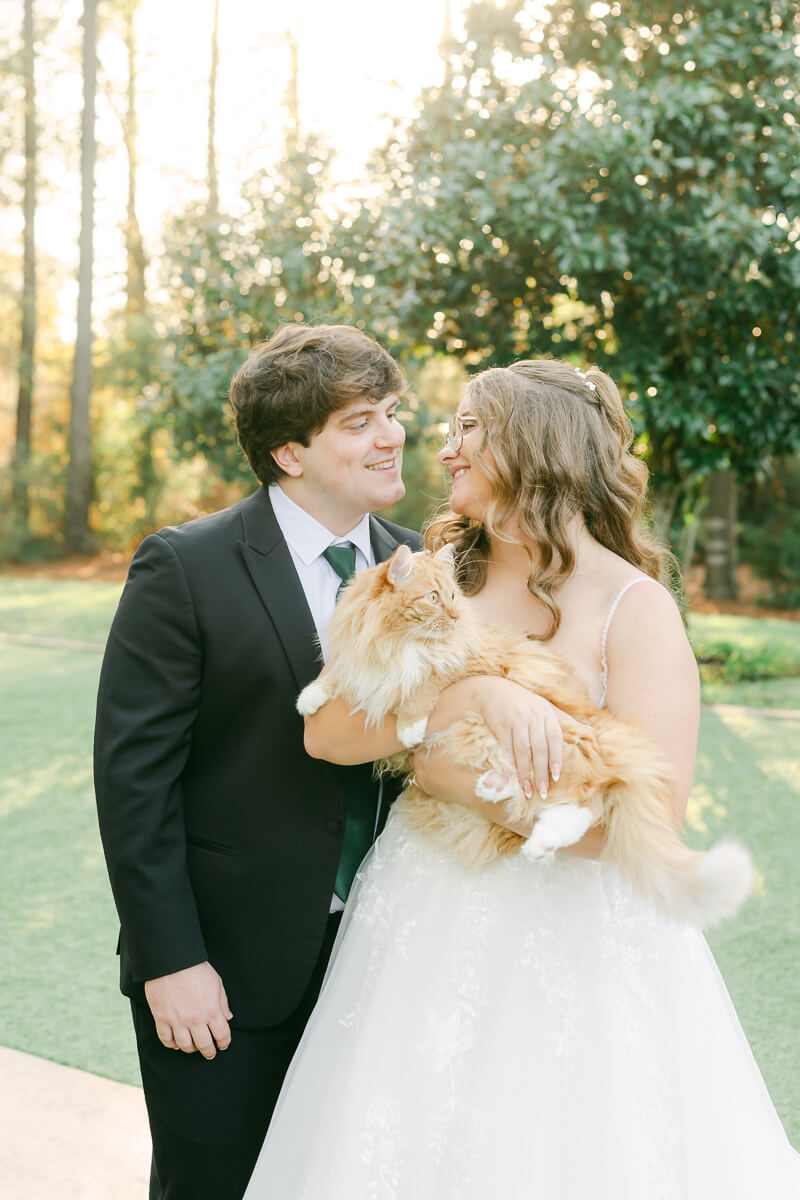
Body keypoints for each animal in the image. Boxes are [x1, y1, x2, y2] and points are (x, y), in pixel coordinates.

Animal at [298, 544, 753, 926]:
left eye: (453, 597)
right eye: (433, 598)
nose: (456, 617)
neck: (399, 644)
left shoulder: (466, 664)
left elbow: (427, 684)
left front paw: (410, 725)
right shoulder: (363, 662)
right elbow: (339, 678)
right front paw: (309, 699)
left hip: (568, 743)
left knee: (593, 798)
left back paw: (542, 837)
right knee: (538, 793)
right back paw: (498, 790)